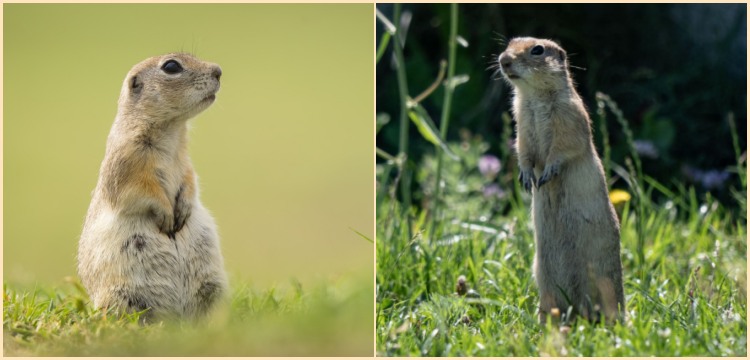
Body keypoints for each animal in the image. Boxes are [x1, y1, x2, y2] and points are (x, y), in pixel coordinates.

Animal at [78, 52, 229, 320]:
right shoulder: (127, 163)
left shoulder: (186, 162)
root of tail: (177, 319)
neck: (173, 131)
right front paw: (167, 216)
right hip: (121, 296)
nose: (218, 70)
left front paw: (183, 209)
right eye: (171, 66)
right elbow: (140, 191)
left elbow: (191, 181)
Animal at [500, 37, 628, 324]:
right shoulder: (522, 125)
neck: (534, 96)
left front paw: (547, 173)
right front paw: (528, 178)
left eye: (537, 50)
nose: (504, 60)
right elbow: (524, 151)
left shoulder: (569, 116)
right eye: (511, 42)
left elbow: (564, 147)